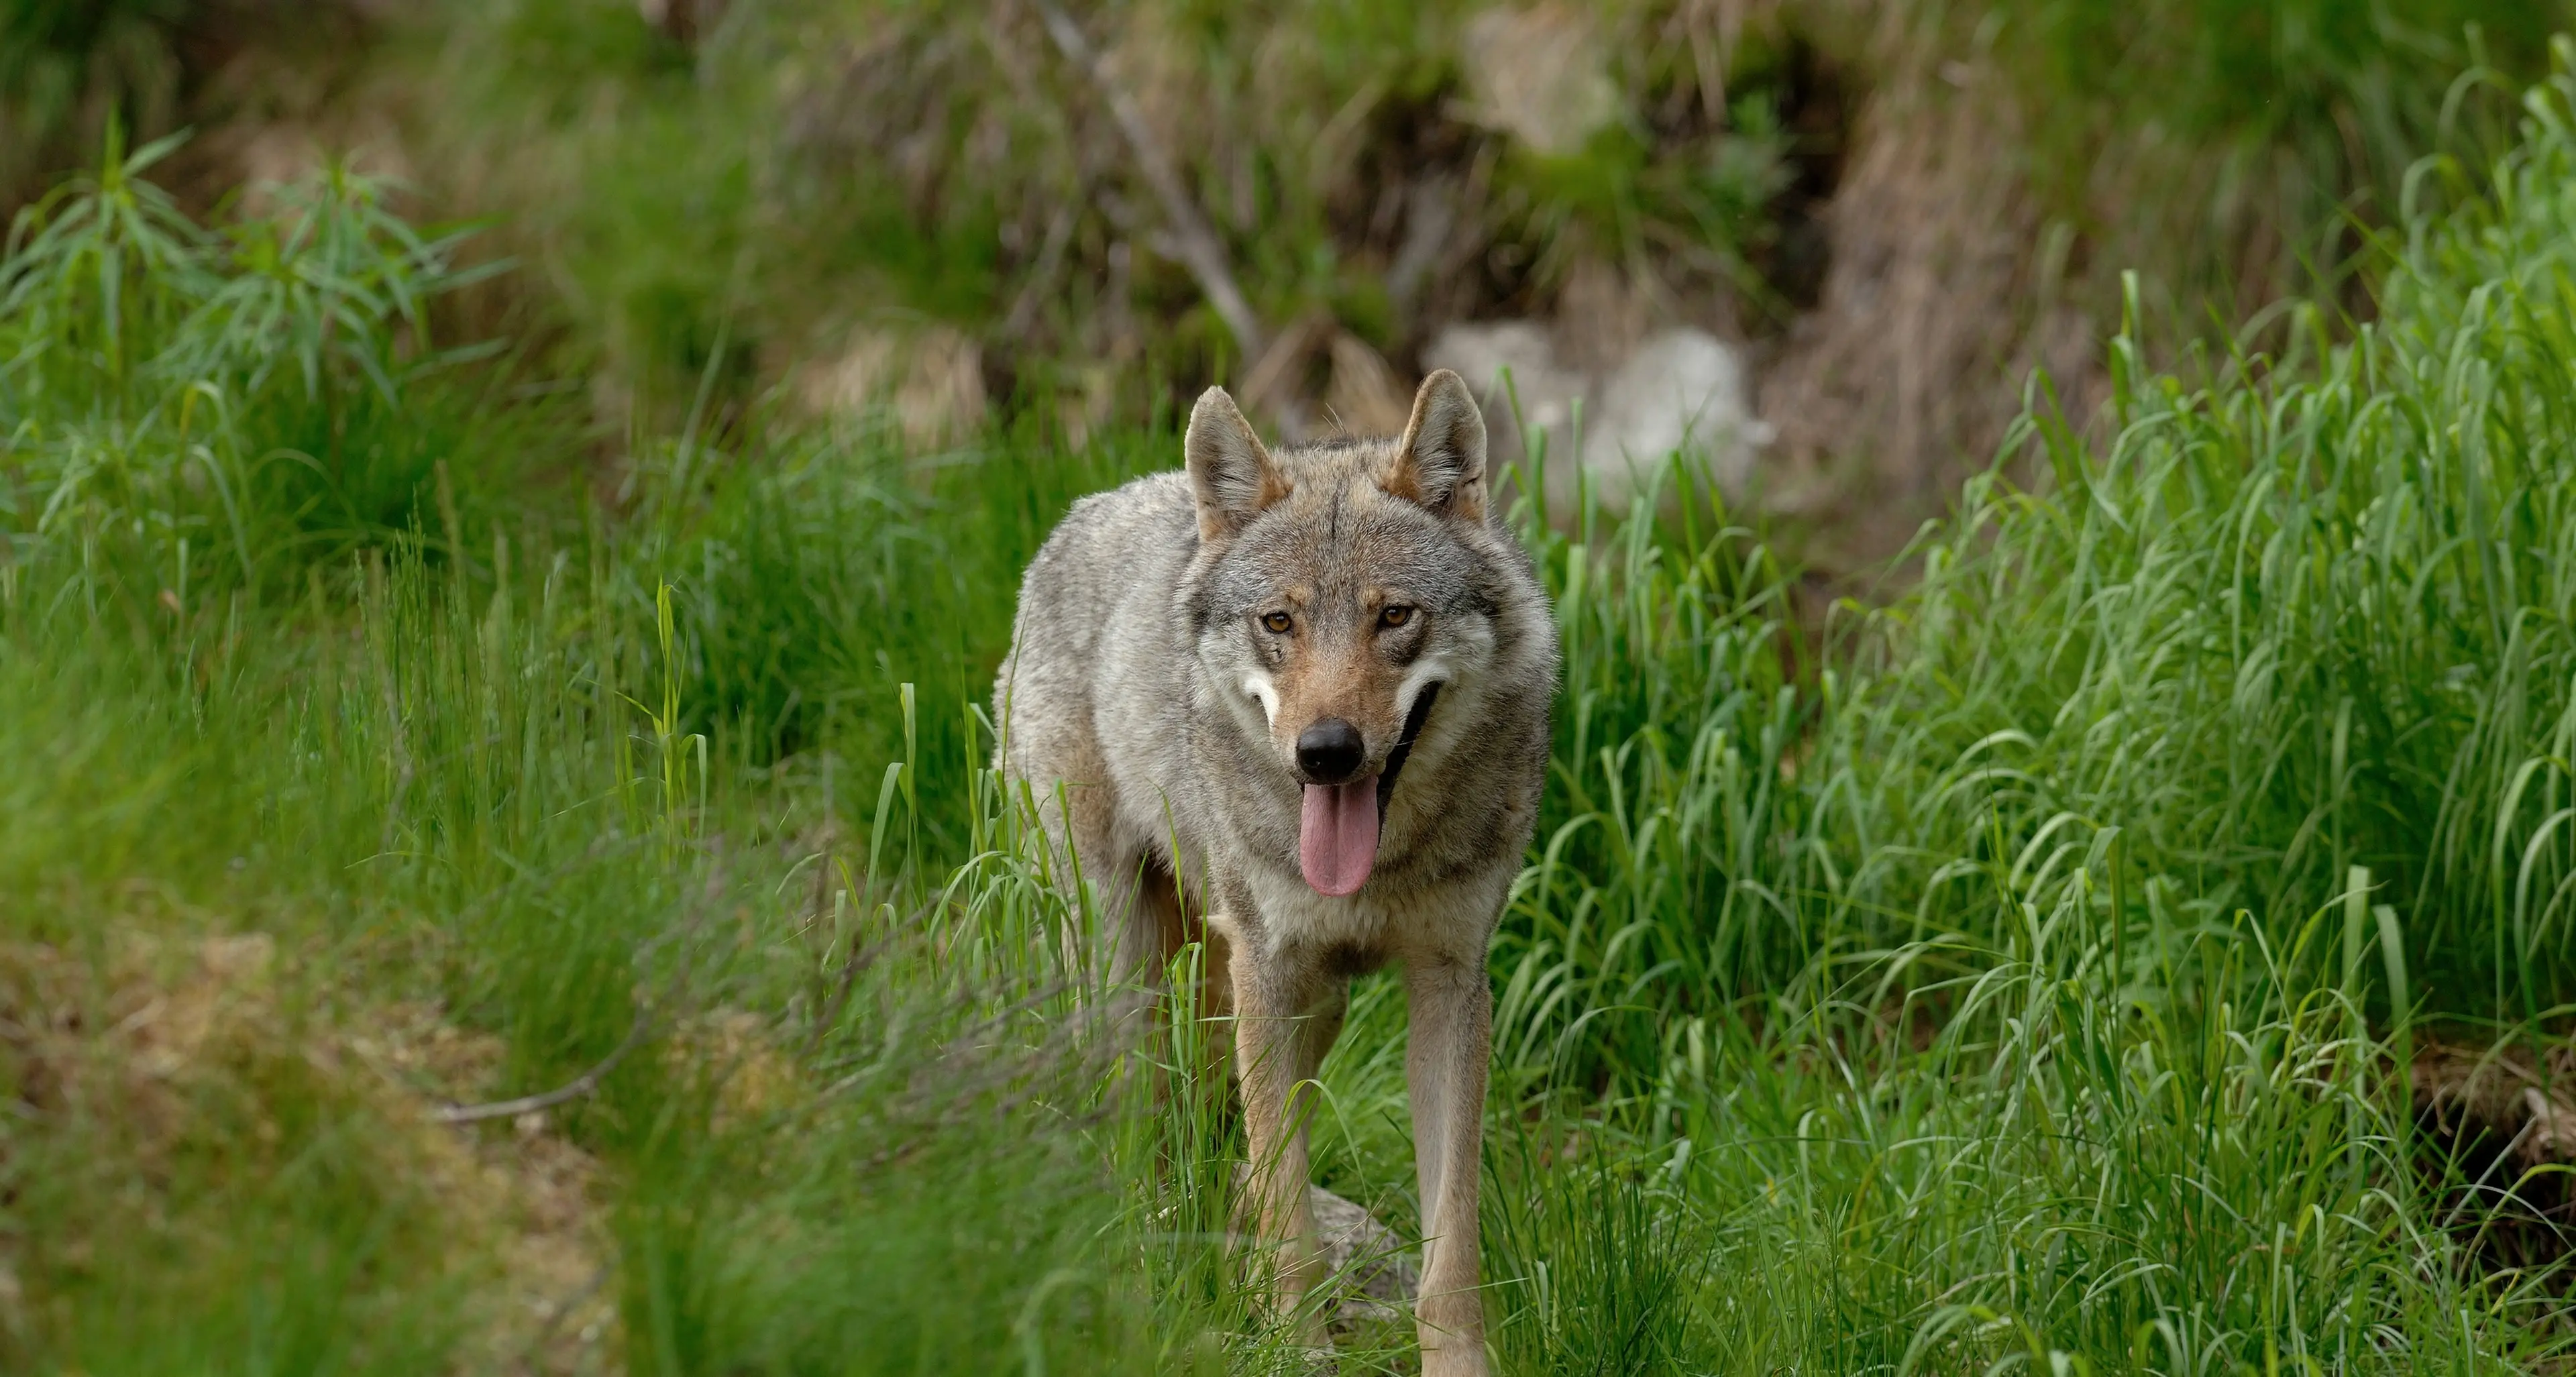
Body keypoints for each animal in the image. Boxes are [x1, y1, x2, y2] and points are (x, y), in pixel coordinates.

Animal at [993, 370, 1556, 1372]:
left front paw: (1456, 1361)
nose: (1325, 753)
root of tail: (1086, 509)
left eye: (1394, 615)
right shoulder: (1269, 970)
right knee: (1139, 1129)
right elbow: (1291, 1206)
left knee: (1227, 1145)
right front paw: (1297, 1345)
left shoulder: (1449, 983)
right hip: (1127, 974)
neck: (1381, 867)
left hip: (1296, 1002)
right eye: (1279, 623)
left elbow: (1449, 1237)